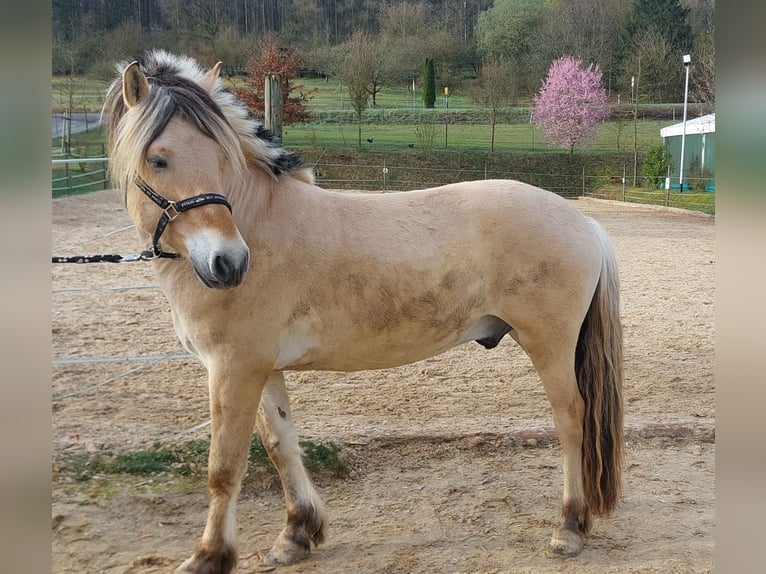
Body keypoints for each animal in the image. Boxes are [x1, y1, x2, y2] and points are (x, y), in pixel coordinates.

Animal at [102, 49, 624, 573]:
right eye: (158, 158)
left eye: (221, 158)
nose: (228, 263)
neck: (257, 224)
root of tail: (584, 222)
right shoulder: (261, 369)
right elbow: (281, 445)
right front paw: (297, 534)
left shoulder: (233, 368)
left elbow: (225, 467)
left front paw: (208, 556)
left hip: (549, 345)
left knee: (571, 420)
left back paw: (569, 528)